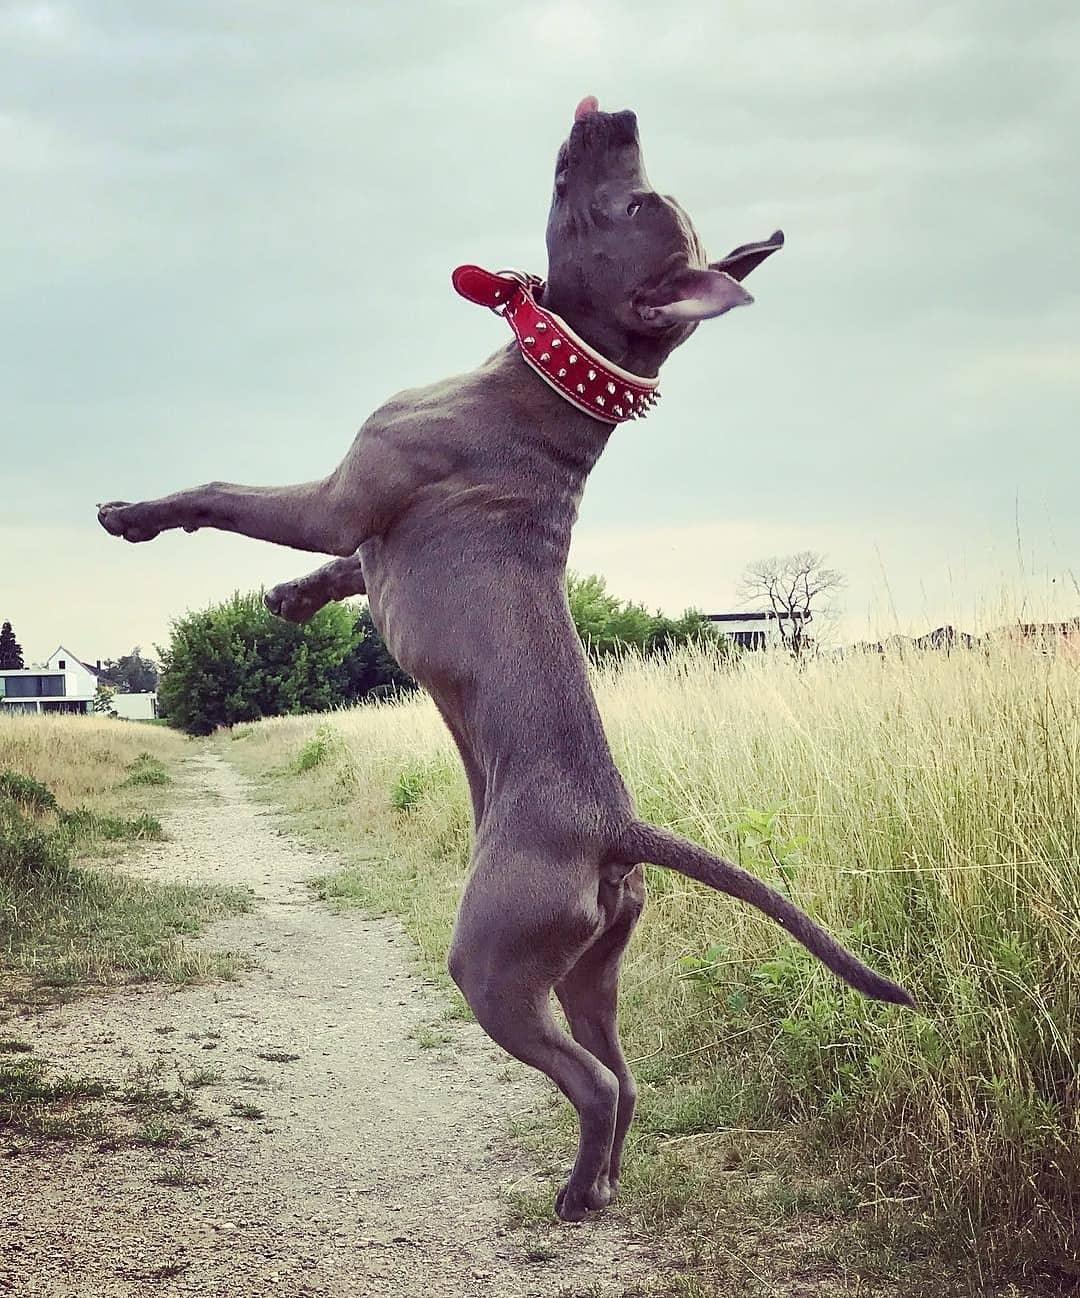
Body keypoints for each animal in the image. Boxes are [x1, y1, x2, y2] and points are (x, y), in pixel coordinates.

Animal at [99, 96, 913, 1220]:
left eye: (635, 204)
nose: (620, 110)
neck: (542, 378)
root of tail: (618, 827)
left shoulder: (338, 498)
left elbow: (226, 493)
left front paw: (135, 515)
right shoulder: (366, 535)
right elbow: (338, 571)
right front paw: (290, 599)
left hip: (493, 962)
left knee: (595, 1078)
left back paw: (575, 1193)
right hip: (589, 968)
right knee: (624, 1069)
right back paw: (601, 1183)